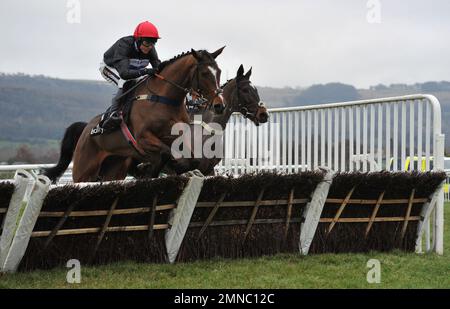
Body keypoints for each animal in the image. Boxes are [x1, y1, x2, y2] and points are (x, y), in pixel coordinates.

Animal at [44, 47, 225, 182]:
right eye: (204, 73)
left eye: (219, 72)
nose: (219, 105)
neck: (165, 99)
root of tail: (85, 129)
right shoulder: (143, 138)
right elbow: (166, 153)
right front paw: (153, 169)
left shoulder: (178, 136)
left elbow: (193, 159)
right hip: (83, 171)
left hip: (114, 168)